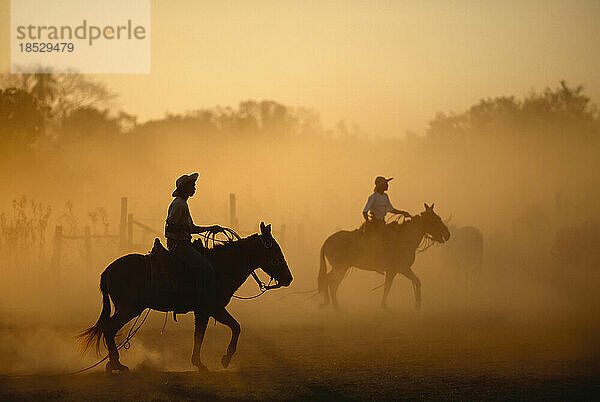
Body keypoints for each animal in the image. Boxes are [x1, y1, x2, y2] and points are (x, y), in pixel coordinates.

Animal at [77, 221, 292, 372]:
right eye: (274, 249)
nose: (289, 278)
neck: (220, 266)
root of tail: (108, 270)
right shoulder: (211, 308)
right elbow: (227, 329)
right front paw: (220, 360)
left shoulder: (206, 311)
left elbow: (208, 333)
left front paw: (203, 362)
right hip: (129, 308)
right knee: (109, 328)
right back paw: (116, 365)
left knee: (109, 328)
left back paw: (113, 364)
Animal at [318, 204, 450, 310]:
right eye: (436, 219)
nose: (447, 234)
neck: (404, 238)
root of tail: (326, 242)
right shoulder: (399, 269)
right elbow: (388, 287)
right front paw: (385, 306)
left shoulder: (397, 270)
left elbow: (415, 282)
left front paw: (417, 306)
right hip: (340, 268)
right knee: (329, 282)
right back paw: (334, 306)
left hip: (341, 268)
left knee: (330, 282)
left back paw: (335, 306)